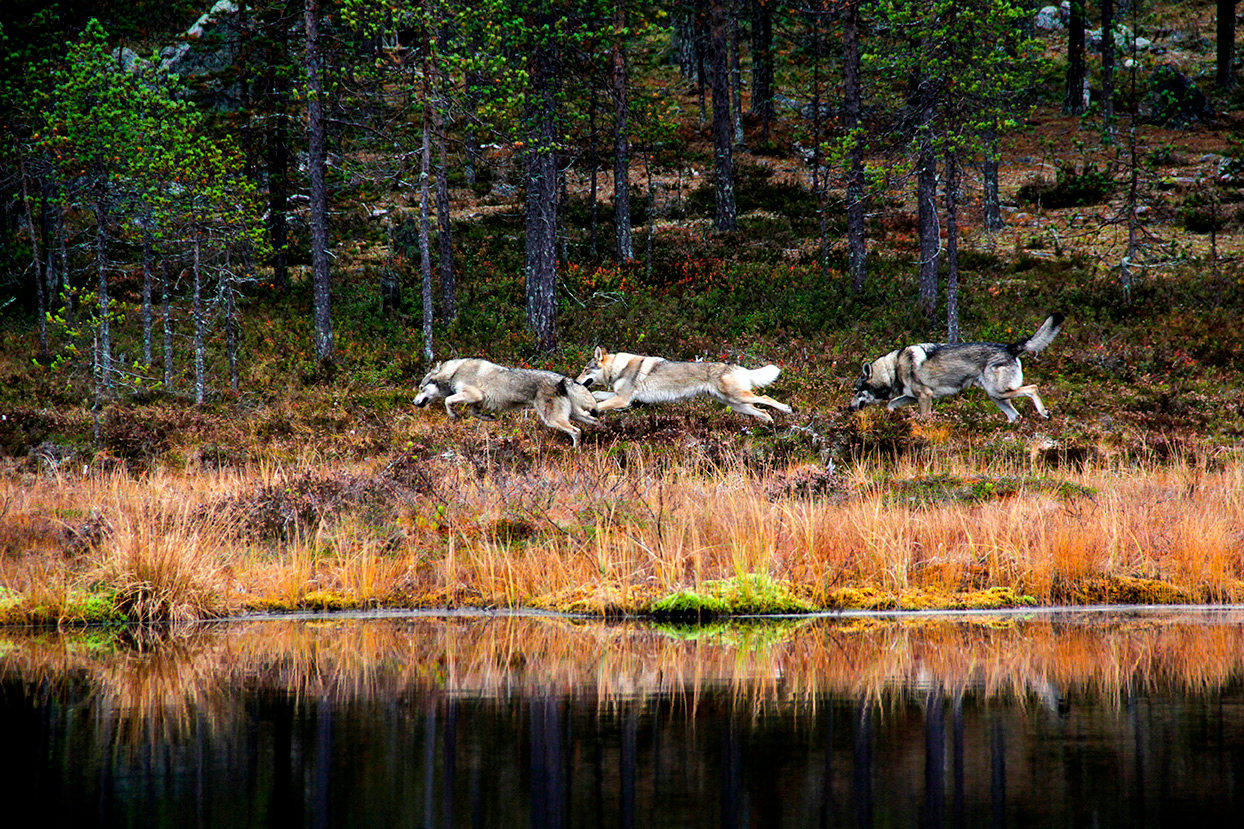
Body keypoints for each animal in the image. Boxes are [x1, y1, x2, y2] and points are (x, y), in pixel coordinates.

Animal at [413, 355, 602, 445]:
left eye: (421, 388)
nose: (414, 403)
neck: (454, 372)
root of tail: (563, 379)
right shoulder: (479, 400)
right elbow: (474, 413)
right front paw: (489, 418)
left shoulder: (474, 395)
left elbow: (448, 401)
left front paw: (453, 415)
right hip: (576, 415)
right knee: (594, 422)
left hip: (553, 420)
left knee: (576, 431)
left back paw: (575, 452)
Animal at [569, 346, 786, 423]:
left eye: (585, 370)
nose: (575, 381)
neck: (617, 368)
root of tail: (735, 367)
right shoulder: (623, 398)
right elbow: (597, 396)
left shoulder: (622, 400)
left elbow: (600, 404)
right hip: (735, 404)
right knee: (762, 411)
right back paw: (769, 427)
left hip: (737, 398)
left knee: (766, 398)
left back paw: (786, 409)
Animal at [850, 313, 1064, 423]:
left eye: (856, 391)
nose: (848, 408)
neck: (893, 370)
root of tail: (1010, 347)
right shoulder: (911, 396)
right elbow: (891, 405)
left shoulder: (925, 396)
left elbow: (924, 418)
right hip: (996, 397)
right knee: (1015, 415)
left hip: (1000, 392)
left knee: (1033, 388)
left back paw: (1044, 413)